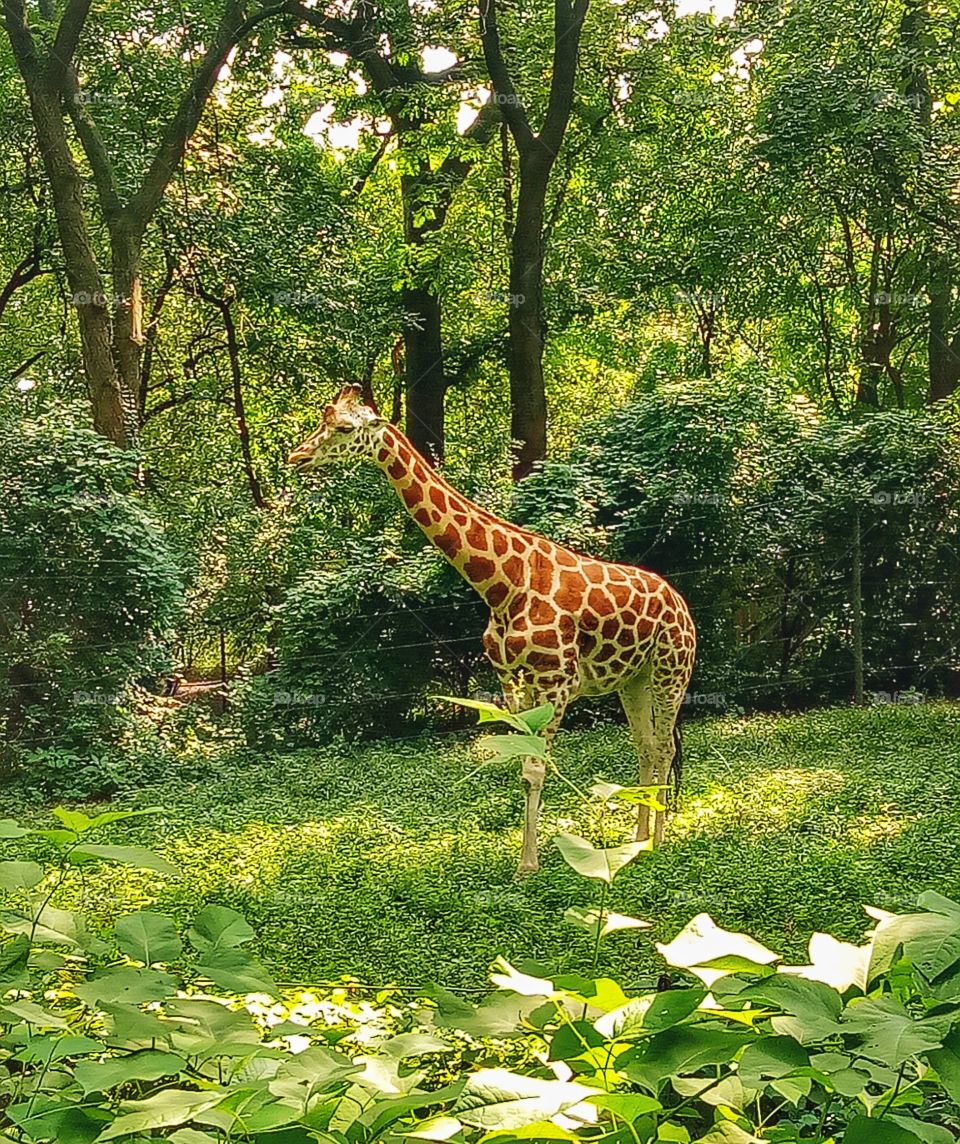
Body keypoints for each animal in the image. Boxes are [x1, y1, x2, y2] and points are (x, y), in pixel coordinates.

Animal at [287, 388, 700, 869]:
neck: (504, 585)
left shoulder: (557, 681)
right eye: (321, 420)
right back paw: (636, 841)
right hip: (633, 679)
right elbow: (522, 764)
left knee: (665, 746)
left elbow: (536, 767)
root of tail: (682, 604)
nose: (297, 457)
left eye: (344, 428)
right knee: (646, 746)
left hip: (672, 669)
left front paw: (528, 866)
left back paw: (659, 842)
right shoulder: (512, 681)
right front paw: (525, 861)